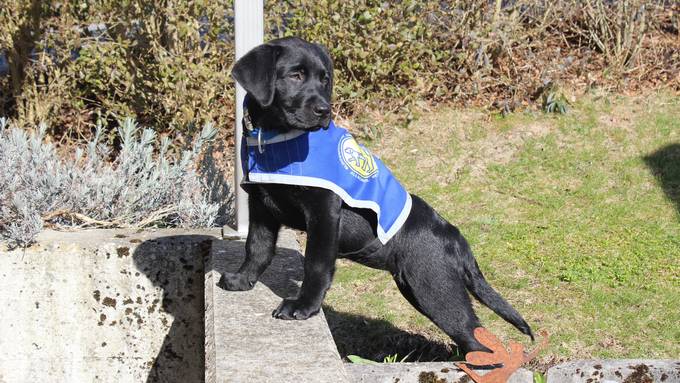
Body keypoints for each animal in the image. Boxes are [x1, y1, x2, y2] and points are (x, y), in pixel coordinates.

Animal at [220, 36, 532, 354]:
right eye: (295, 75)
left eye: (324, 80)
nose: (324, 111)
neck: (274, 138)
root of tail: (456, 239)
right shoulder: (261, 205)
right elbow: (257, 247)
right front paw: (242, 279)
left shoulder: (323, 212)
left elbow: (316, 264)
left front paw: (304, 307)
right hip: (418, 288)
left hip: (435, 287)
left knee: (474, 336)